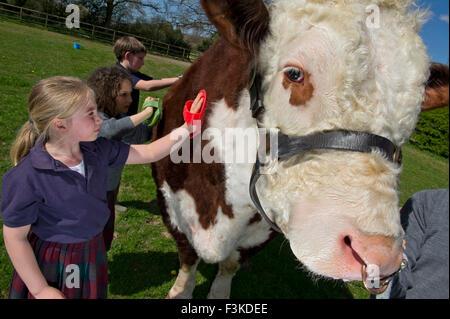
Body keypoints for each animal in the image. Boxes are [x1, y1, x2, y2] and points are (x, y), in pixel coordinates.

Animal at [152, 0, 450, 300]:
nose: (378, 253)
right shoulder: (172, 207)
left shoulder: (259, 233)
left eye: (417, 107)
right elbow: (187, 260)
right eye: (294, 74)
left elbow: (229, 267)